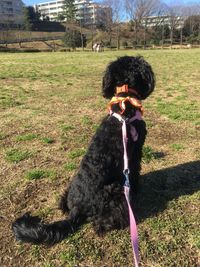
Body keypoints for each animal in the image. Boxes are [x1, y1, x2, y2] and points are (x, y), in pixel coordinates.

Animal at [12, 56, 155, 247]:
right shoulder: (136, 152)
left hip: (68, 192)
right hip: (114, 192)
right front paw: (137, 189)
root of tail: (77, 210)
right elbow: (135, 172)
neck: (125, 104)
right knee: (101, 223)